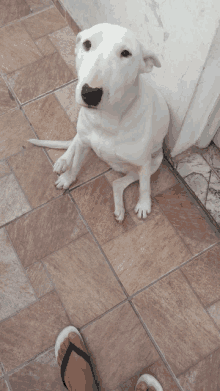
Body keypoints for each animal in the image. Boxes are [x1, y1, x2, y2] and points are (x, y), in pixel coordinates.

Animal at [28, 23, 170, 222]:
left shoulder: (144, 164)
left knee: (118, 183)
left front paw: (144, 204)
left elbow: (145, 186)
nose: (90, 93)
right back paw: (63, 160)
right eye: (87, 44)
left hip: (155, 161)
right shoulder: (83, 142)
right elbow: (76, 164)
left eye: (126, 53)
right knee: (75, 141)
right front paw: (68, 177)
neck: (106, 119)